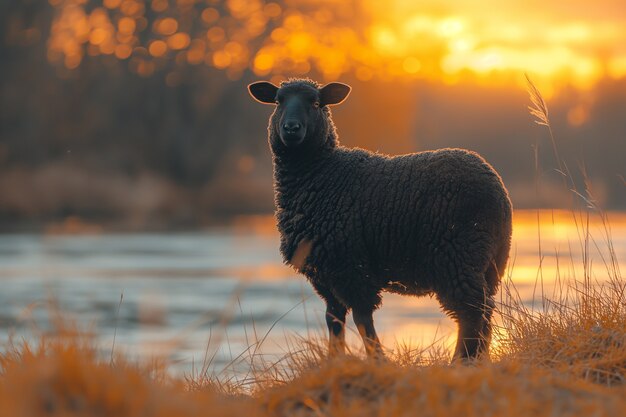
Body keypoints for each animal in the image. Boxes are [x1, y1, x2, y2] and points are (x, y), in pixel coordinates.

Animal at [246, 79, 510, 360]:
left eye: (316, 103)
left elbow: (363, 319)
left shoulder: (351, 266)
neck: (322, 173)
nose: (291, 128)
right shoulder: (325, 274)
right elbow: (334, 320)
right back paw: (476, 360)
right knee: (484, 312)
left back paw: (460, 362)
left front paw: (379, 360)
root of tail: (497, 187)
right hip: (490, 262)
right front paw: (335, 360)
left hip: (457, 254)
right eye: (278, 101)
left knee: (472, 313)